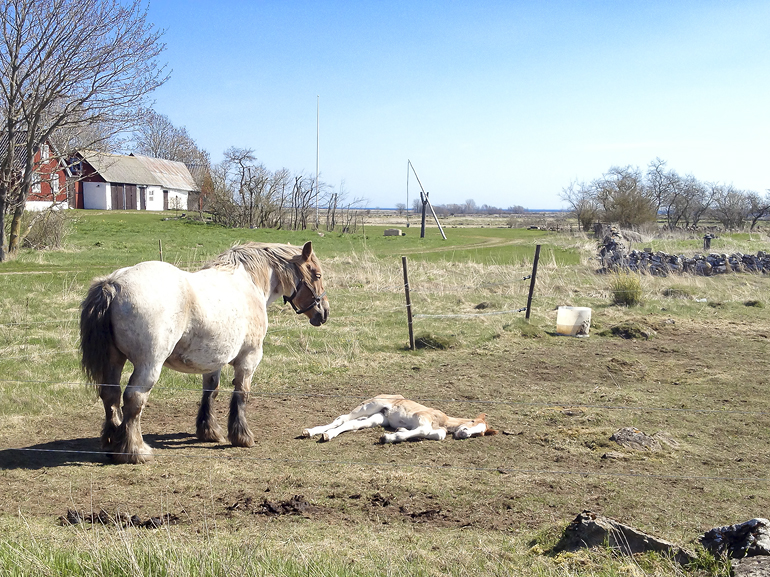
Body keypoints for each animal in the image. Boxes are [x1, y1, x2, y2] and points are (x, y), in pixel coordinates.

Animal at [81, 240, 328, 464]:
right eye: (316, 275)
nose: (323, 312)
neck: (249, 283)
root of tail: (113, 284)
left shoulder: (213, 361)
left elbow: (210, 393)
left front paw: (208, 431)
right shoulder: (249, 358)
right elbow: (241, 394)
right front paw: (242, 437)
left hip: (114, 361)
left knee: (110, 395)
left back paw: (112, 445)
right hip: (148, 365)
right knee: (134, 399)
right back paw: (135, 451)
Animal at [300, 394, 492, 444]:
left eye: (480, 433)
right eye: (473, 422)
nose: (465, 433)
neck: (443, 420)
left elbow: (439, 434)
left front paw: (400, 430)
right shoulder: (421, 418)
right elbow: (425, 430)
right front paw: (388, 437)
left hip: (377, 418)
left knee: (351, 424)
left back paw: (327, 435)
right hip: (370, 406)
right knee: (342, 418)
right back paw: (310, 432)